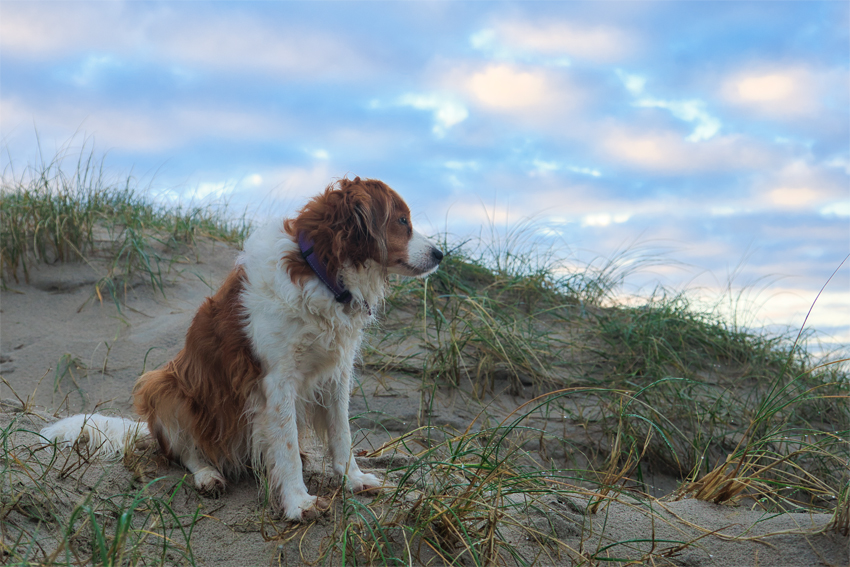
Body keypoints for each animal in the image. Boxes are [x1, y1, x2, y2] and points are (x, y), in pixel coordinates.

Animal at [41, 180, 444, 520]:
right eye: (402, 220)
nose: (440, 253)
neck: (320, 271)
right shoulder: (276, 381)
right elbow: (286, 447)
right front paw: (298, 502)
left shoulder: (336, 374)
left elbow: (341, 435)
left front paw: (353, 480)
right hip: (166, 386)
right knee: (186, 453)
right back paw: (208, 475)